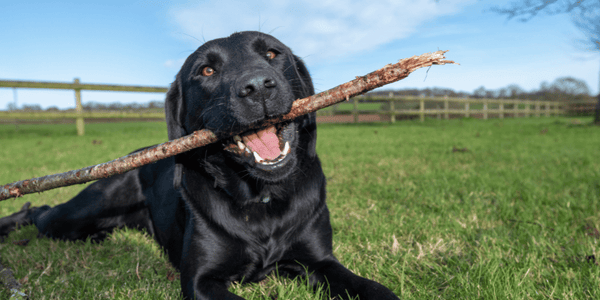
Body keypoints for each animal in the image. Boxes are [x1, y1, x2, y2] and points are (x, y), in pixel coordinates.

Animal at [0, 31, 398, 298]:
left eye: (273, 53)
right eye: (206, 71)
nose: (257, 86)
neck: (261, 201)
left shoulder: (320, 261)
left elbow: (375, 289)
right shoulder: (201, 280)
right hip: (81, 212)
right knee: (41, 210)